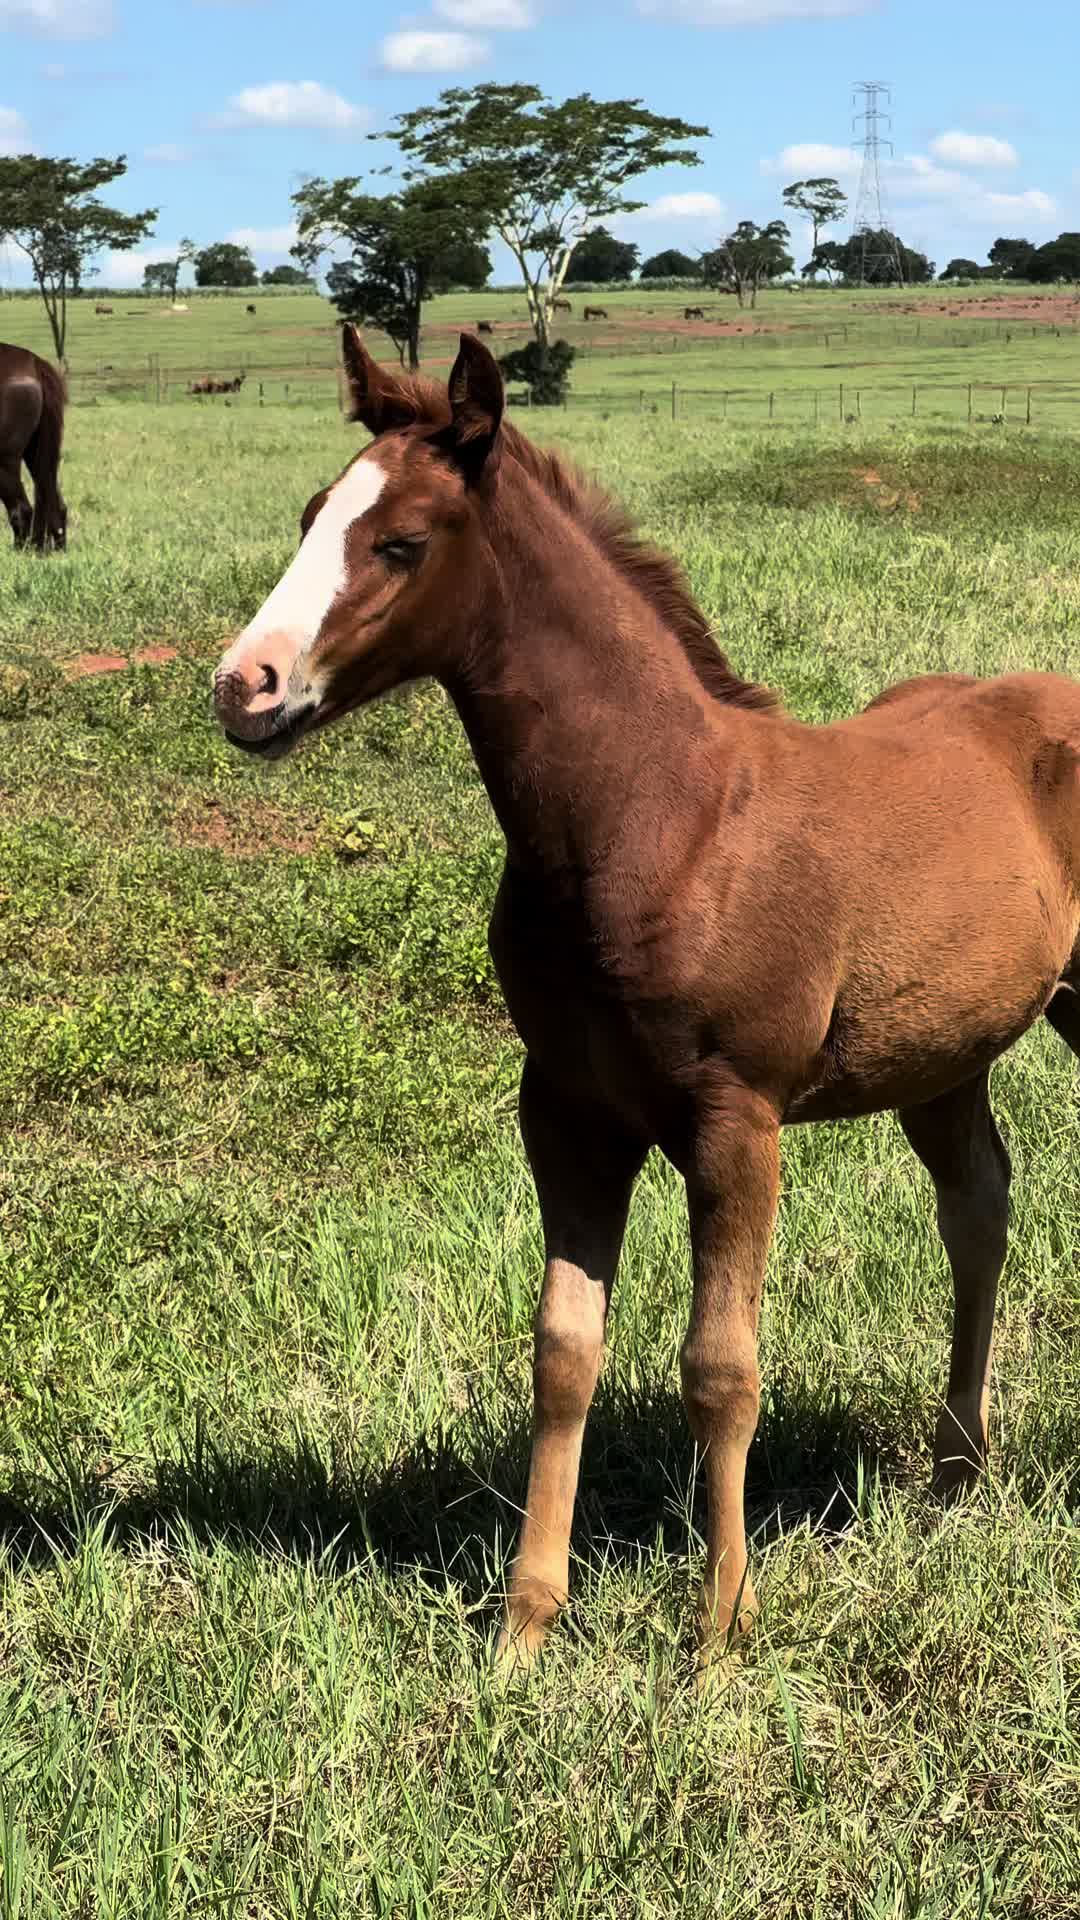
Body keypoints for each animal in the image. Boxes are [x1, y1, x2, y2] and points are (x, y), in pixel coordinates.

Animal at [212, 326, 1080, 1676]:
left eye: (400, 542)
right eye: (311, 515)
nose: (242, 687)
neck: (658, 820)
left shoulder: (738, 1120)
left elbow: (720, 1364)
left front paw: (722, 1624)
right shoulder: (569, 1112)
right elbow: (564, 1350)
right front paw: (527, 1621)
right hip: (941, 1054)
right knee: (978, 1209)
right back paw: (954, 1476)